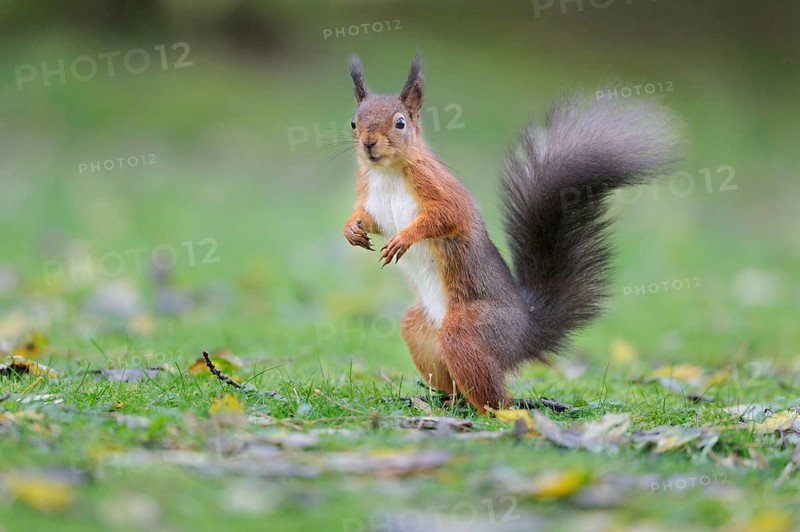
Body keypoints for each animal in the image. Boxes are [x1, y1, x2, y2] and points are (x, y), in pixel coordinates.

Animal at [342, 54, 681, 413]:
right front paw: (351, 228)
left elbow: (446, 216)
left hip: (469, 331)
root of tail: (524, 333)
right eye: (353, 122)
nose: (368, 143)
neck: (387, 172)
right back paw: (446, 400)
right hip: (421, 330)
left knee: (497, 397)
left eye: (400, 123)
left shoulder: (441, 188)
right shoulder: (371, 196)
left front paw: (404, 238)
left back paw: (493, 411)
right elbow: (369, 218)